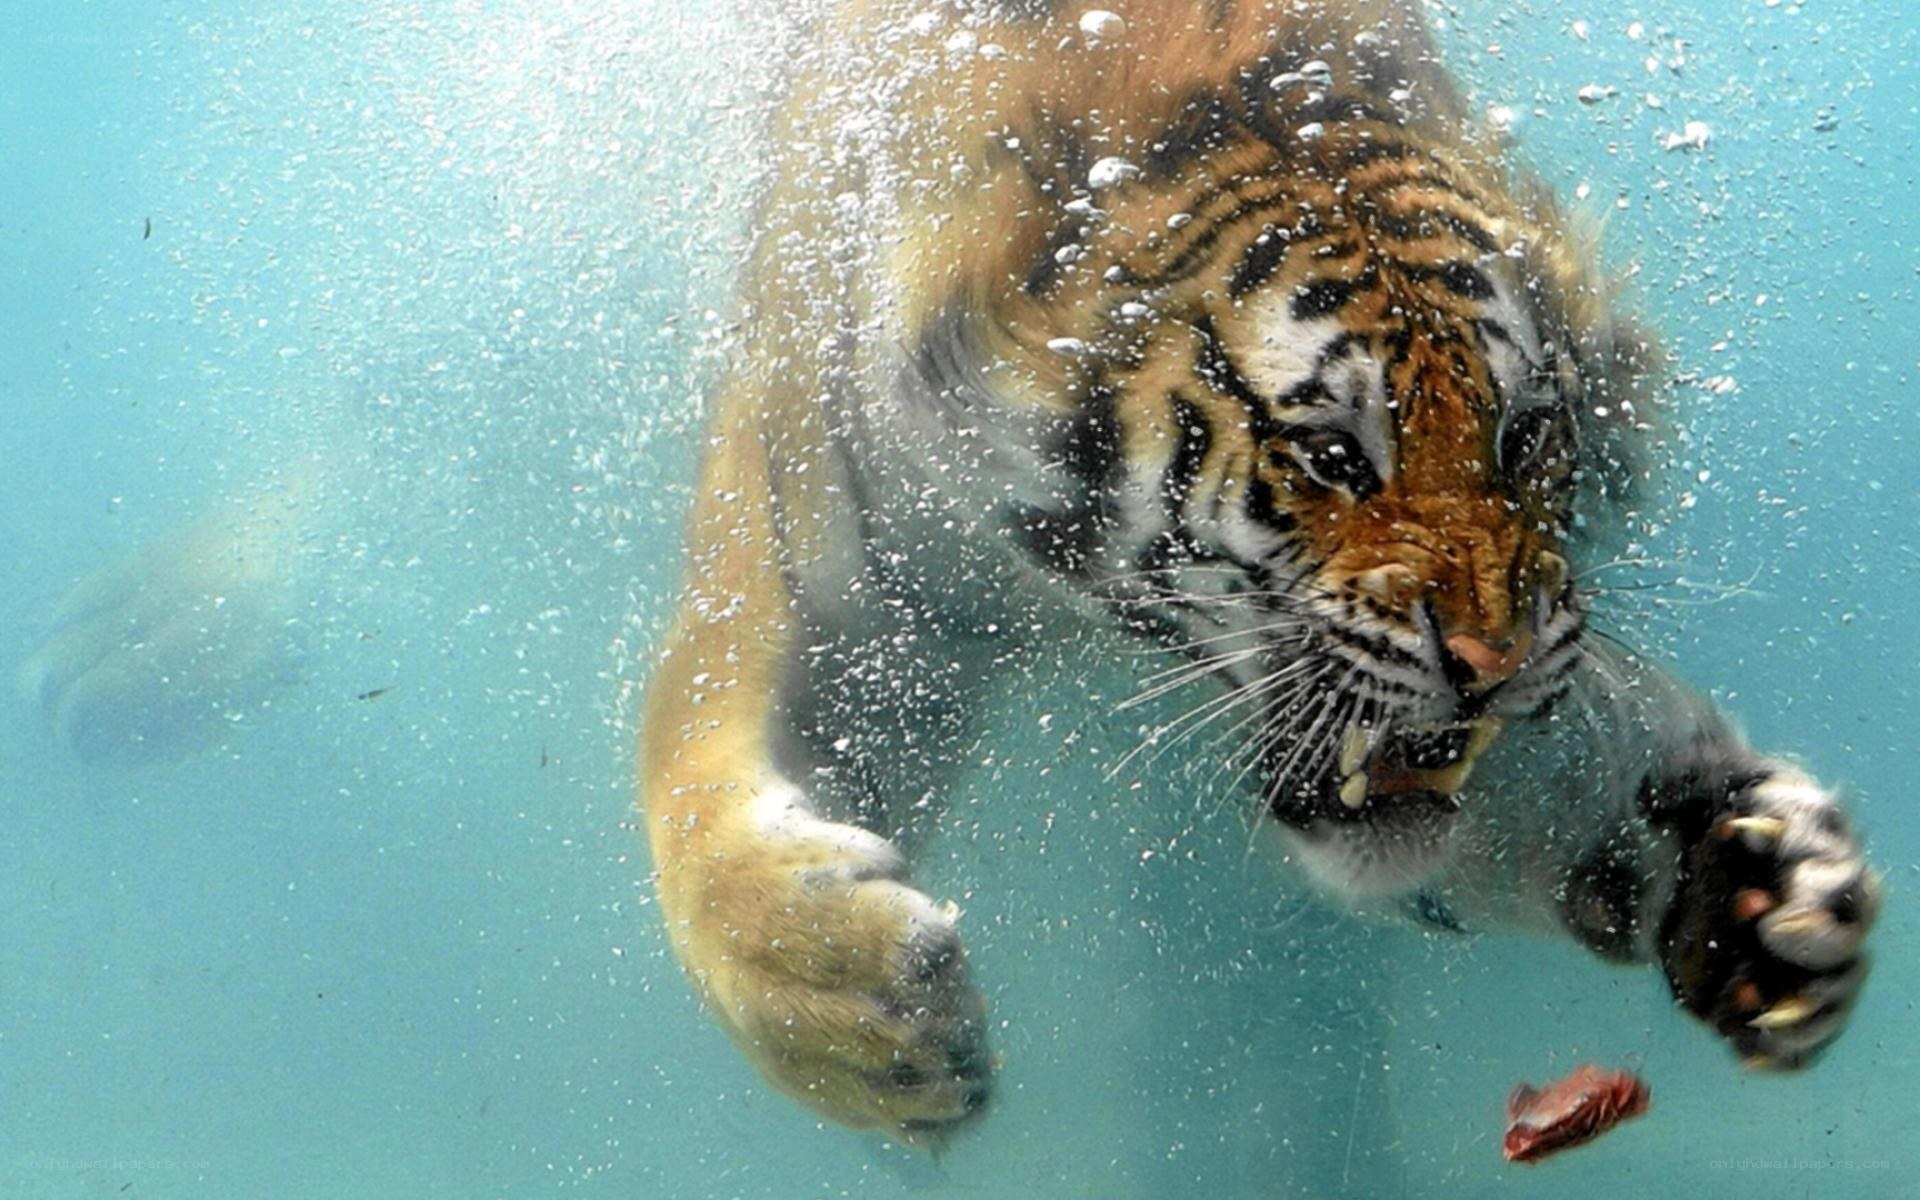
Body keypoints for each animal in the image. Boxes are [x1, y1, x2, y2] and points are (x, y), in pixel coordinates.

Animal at [640, 0, 1881, 1144]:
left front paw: (1758, 883)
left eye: (1524, 435)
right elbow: (693, 783)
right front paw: (860, 1005)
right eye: (1332, 454)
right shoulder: (842, 600)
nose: (1496, 659)